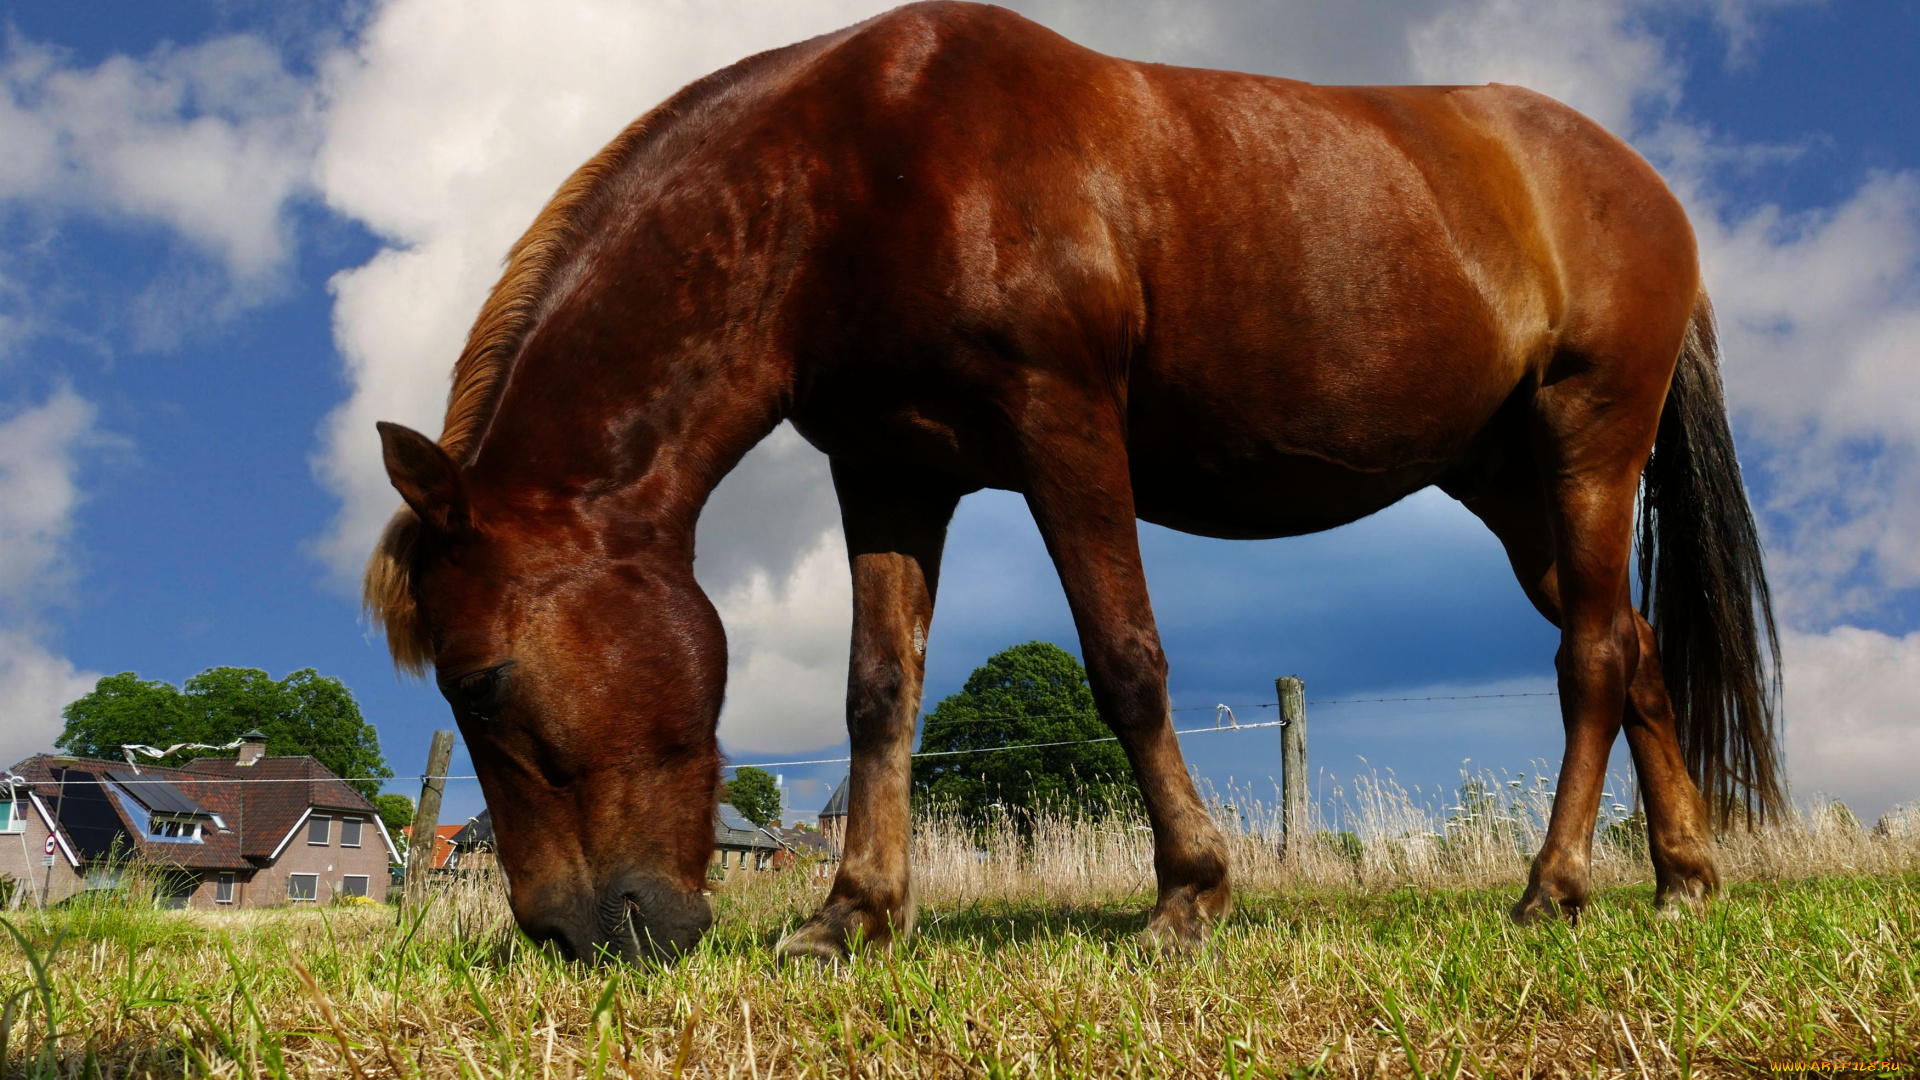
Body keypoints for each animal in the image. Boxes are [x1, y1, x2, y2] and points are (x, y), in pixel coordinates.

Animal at [362, 0, 1781, 957]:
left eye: (481, 683)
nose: (568, 935)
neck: (859, 173)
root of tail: (1642, 187)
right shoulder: (889, 472)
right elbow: (878, 695)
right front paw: (851, 914)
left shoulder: (1065, 429)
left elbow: (1126, 661)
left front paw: (1190, 893)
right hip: (1510, 486)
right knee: (1635, 649)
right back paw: (1683, 879)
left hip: (1588, 442)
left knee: (1591, 658)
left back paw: (1556, 887)